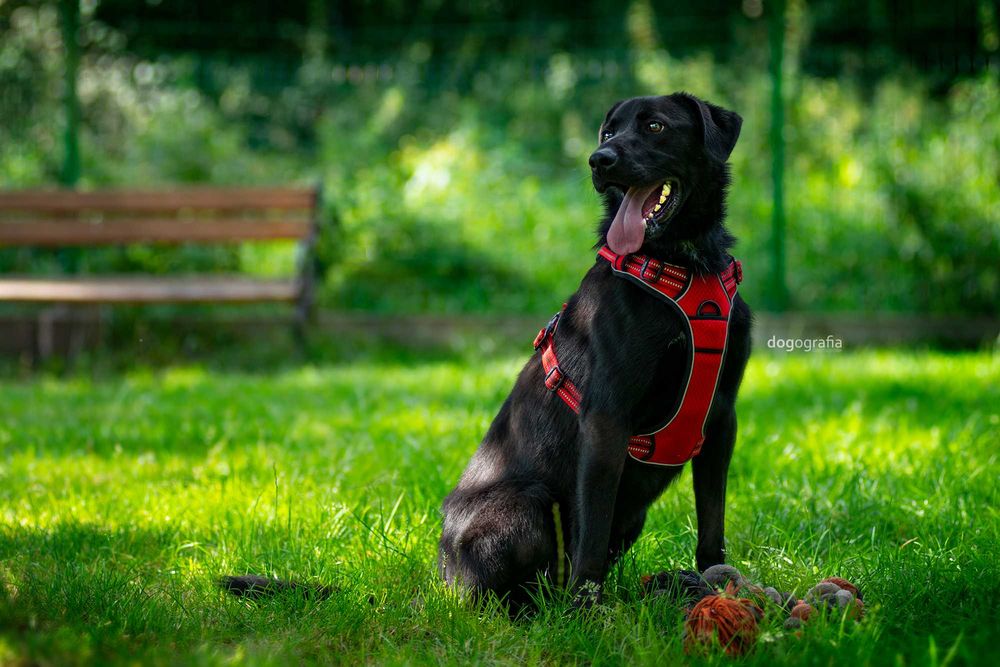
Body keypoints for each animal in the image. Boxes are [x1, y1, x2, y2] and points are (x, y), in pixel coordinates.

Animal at [438, 94, 752, 612]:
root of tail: (442, 575)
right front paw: (587, 609)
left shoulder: (722, 419)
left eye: (654, 126)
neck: (681, 264)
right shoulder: (607, 416)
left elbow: (713, 518)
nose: (598, 160)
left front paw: (715, 580)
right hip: (524, 507)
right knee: (502, 595)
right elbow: (593, 524)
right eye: (608, 133)